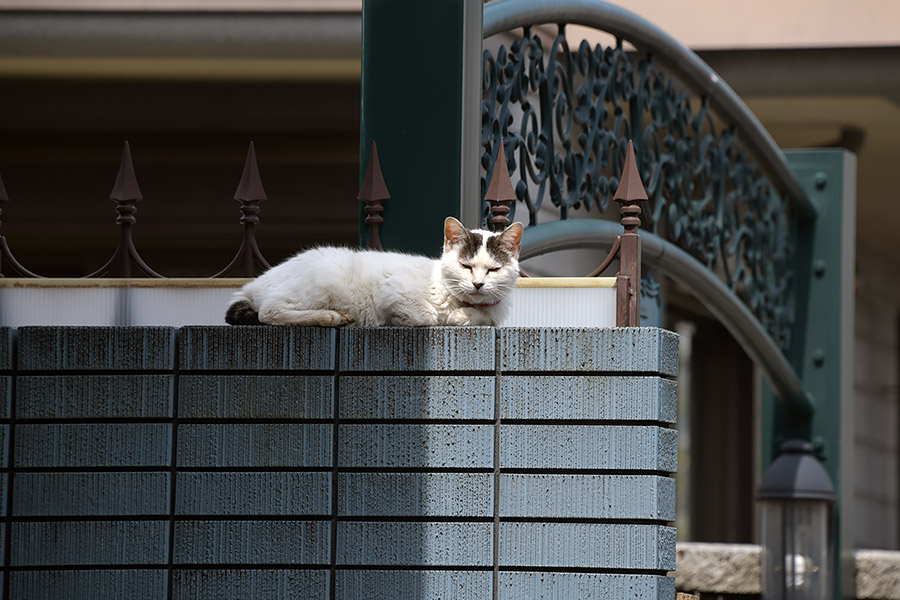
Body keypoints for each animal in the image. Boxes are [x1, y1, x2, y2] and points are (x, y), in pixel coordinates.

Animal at [221, 217, 524, 326]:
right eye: (465, 266)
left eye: (493, 270)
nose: (477, 284)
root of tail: (256, 283)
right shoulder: (391, 289)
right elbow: (427, 315)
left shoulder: (493, 313)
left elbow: (484, 318)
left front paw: (464, 315)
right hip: (320, 279)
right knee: (269, 311)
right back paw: (331, 317)